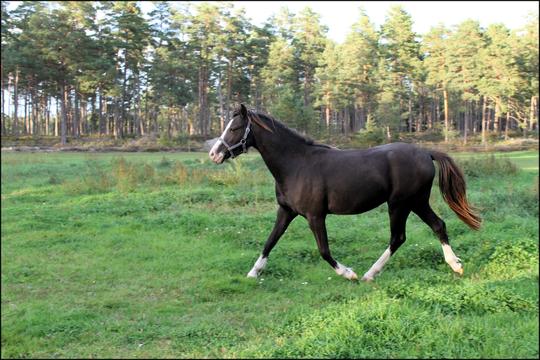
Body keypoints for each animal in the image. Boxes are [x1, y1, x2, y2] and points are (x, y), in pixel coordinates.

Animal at [208, 104, 480, 282]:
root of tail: (426, 153)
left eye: (235, 128)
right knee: (438, 225)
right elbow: (270, 241)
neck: (296, 164)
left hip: (400, 204)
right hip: (416, 202)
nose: (214, 154)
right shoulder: (286, 211)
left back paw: (369, 274)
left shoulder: (315, 216)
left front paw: (348, 273)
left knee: (398, 237)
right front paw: (254, 272)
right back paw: (455, 266)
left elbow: (324, 251)